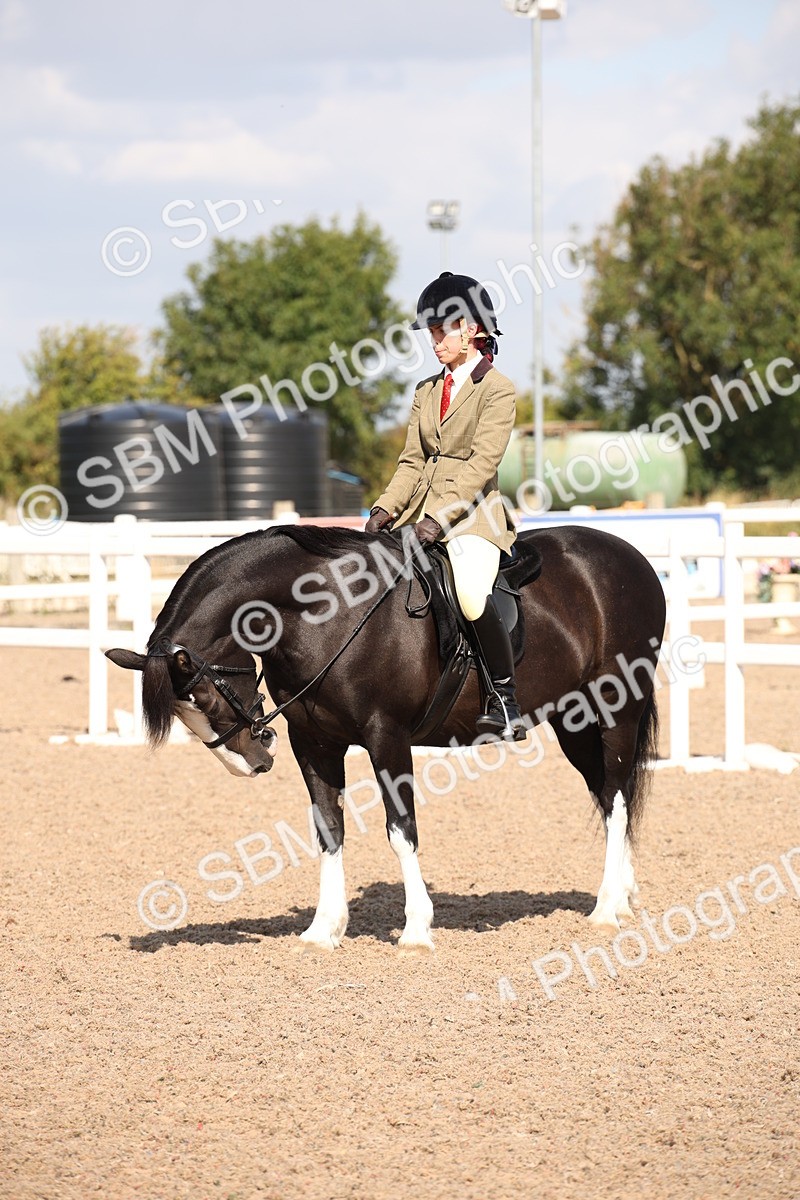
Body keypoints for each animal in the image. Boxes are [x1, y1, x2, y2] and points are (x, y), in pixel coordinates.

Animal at [107, 523, 666, 951]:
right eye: (186, 712)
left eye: (205, 695)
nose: (252, 761)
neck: (325, 612)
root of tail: (631, 556)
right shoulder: (313, 742)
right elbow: (328, 829)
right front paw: (323, 930)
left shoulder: (387, 738)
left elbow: (401, 830)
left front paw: (416, 930)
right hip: (575, 721)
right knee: (608, 793)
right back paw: (626, 895)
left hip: (616, 710)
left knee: (617, 798)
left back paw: (606, 910)